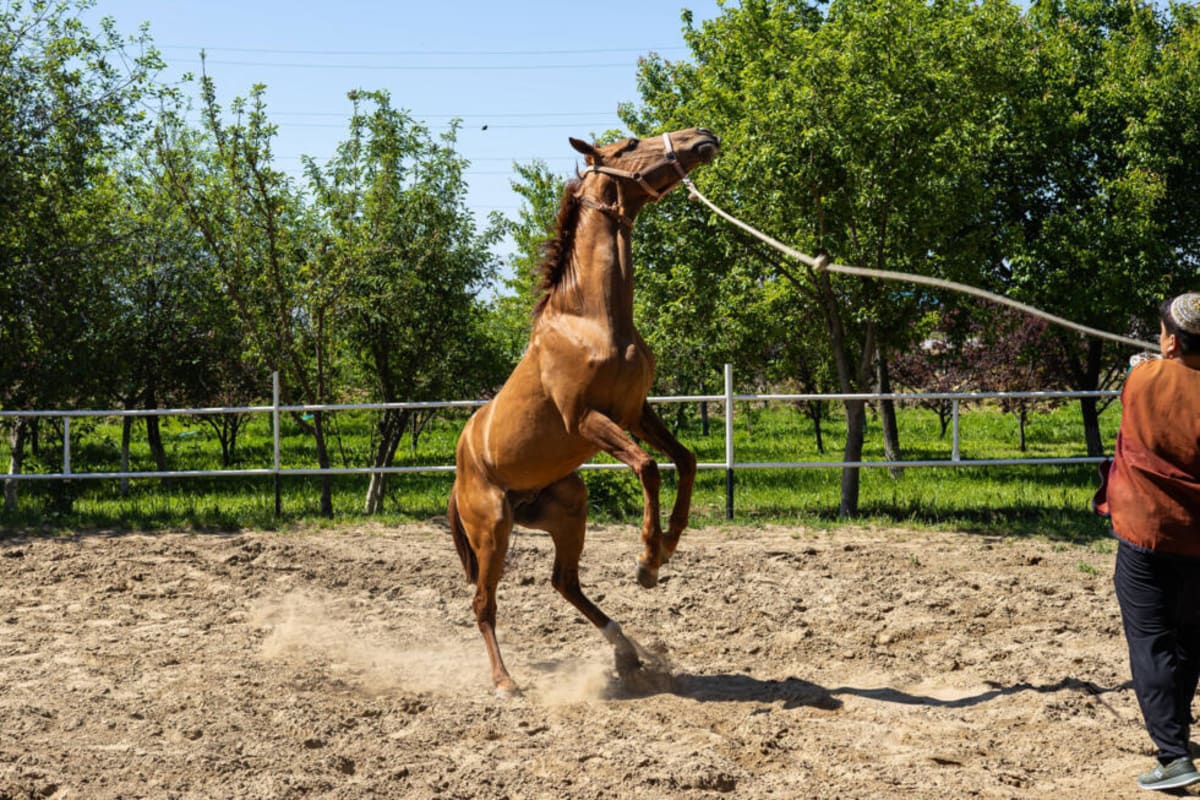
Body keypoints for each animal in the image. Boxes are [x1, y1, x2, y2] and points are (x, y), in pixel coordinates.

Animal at [447, 127, 720, 695]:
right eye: (630, 144)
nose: (701, 137)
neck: (591, 320)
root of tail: (460, 468)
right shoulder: (587, 421)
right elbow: (648, 467)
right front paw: (647, 560)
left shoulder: (636, 412)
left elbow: (684, 461)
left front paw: (666, 548)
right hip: (493, 528)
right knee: (484, 602)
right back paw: (505, 681)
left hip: (569, 509)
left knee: (564, 582)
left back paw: (627, 654)